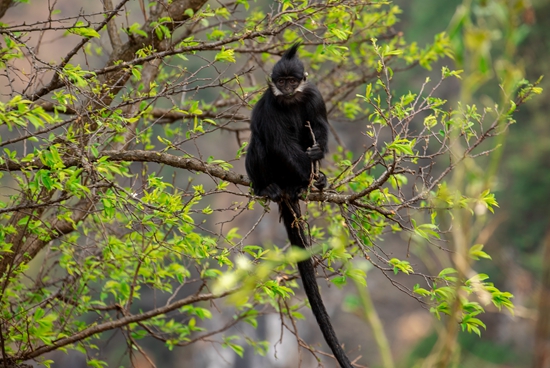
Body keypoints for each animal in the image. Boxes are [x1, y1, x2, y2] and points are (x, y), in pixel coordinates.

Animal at [246, 43, 354, 368]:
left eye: (293, 80)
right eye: (281, 82)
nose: (286, 88)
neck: (291, 99)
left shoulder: (314, 96)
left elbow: (318, 126)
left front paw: (319, 173)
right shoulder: (270, 104)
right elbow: (278, 141)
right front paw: (314, 176)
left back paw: (305, 185)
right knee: (259, 141)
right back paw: (271, 187)